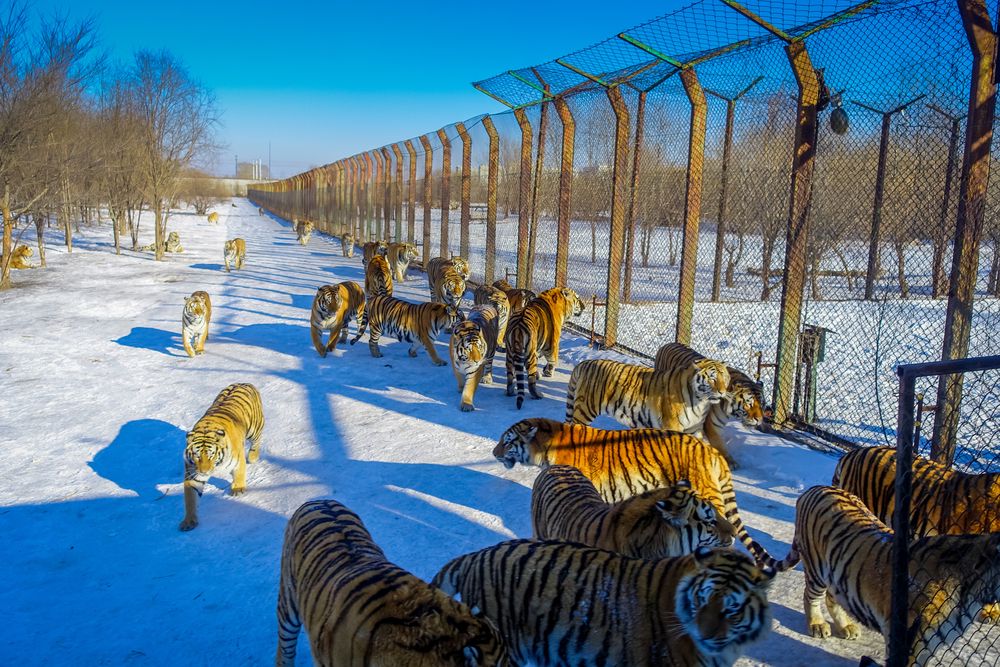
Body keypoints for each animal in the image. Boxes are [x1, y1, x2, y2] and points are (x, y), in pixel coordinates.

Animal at [179, 382, 264, 531]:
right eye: (196, 455)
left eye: (211, 455)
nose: (204, 472)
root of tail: (243, 382)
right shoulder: (193, 474)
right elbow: (190, 499)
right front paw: (189, 521)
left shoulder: (238, 461)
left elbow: (239, 474)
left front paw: (237, 490)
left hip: (255, 428)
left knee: (257, 441)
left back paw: (253, 457)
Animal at [564, 357, 730, 439]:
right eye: (712, 379)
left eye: (725, 378)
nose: (722, 392)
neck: (701, 402)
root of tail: (584, 363)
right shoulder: (673, 425)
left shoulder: (694, 428)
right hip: (585, 410)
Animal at [784, 485, 1000, 666]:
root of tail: (814, 489)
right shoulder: (909, 639)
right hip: (816, 568)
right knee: (810, 596)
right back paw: (818, 625)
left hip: (838, 573)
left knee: (832, 597)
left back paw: (847, 627)